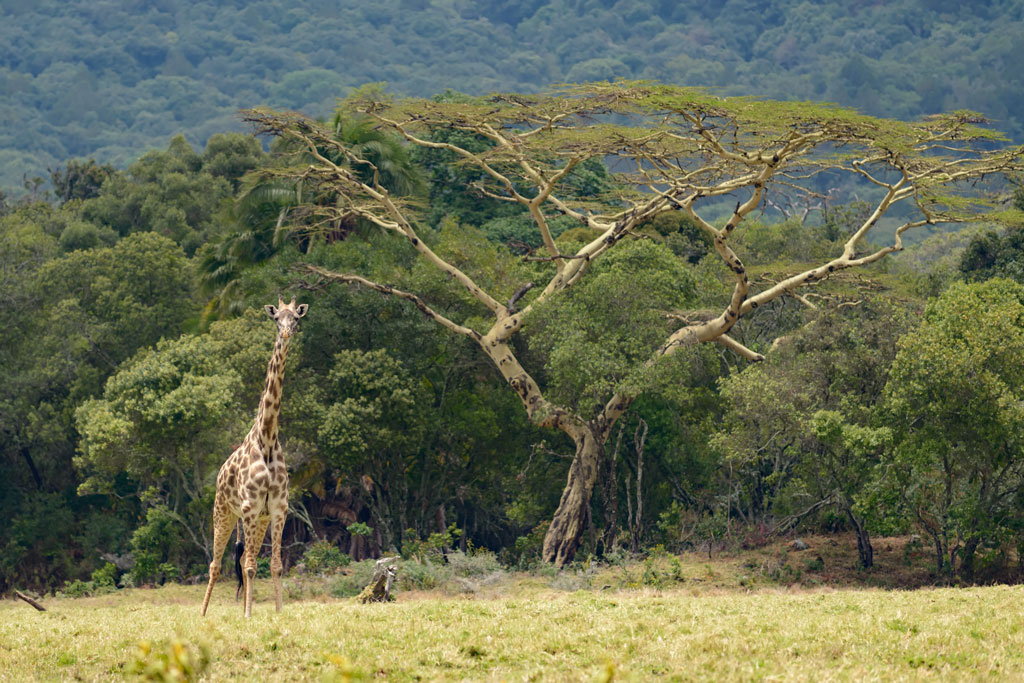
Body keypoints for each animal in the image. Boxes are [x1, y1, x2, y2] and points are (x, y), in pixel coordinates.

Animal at [201, 296, 307, 618]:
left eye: (295, 319)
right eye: (276, 319)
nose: (285, 333)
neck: (268, 438)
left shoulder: (278, 508)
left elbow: (275, 565)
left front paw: (278, 612)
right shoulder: (249, 506)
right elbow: (248, 566)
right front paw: (248, 615)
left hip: (257, 520)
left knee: (244, 560)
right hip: (223, 513)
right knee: (215, 565)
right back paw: (203, 613)